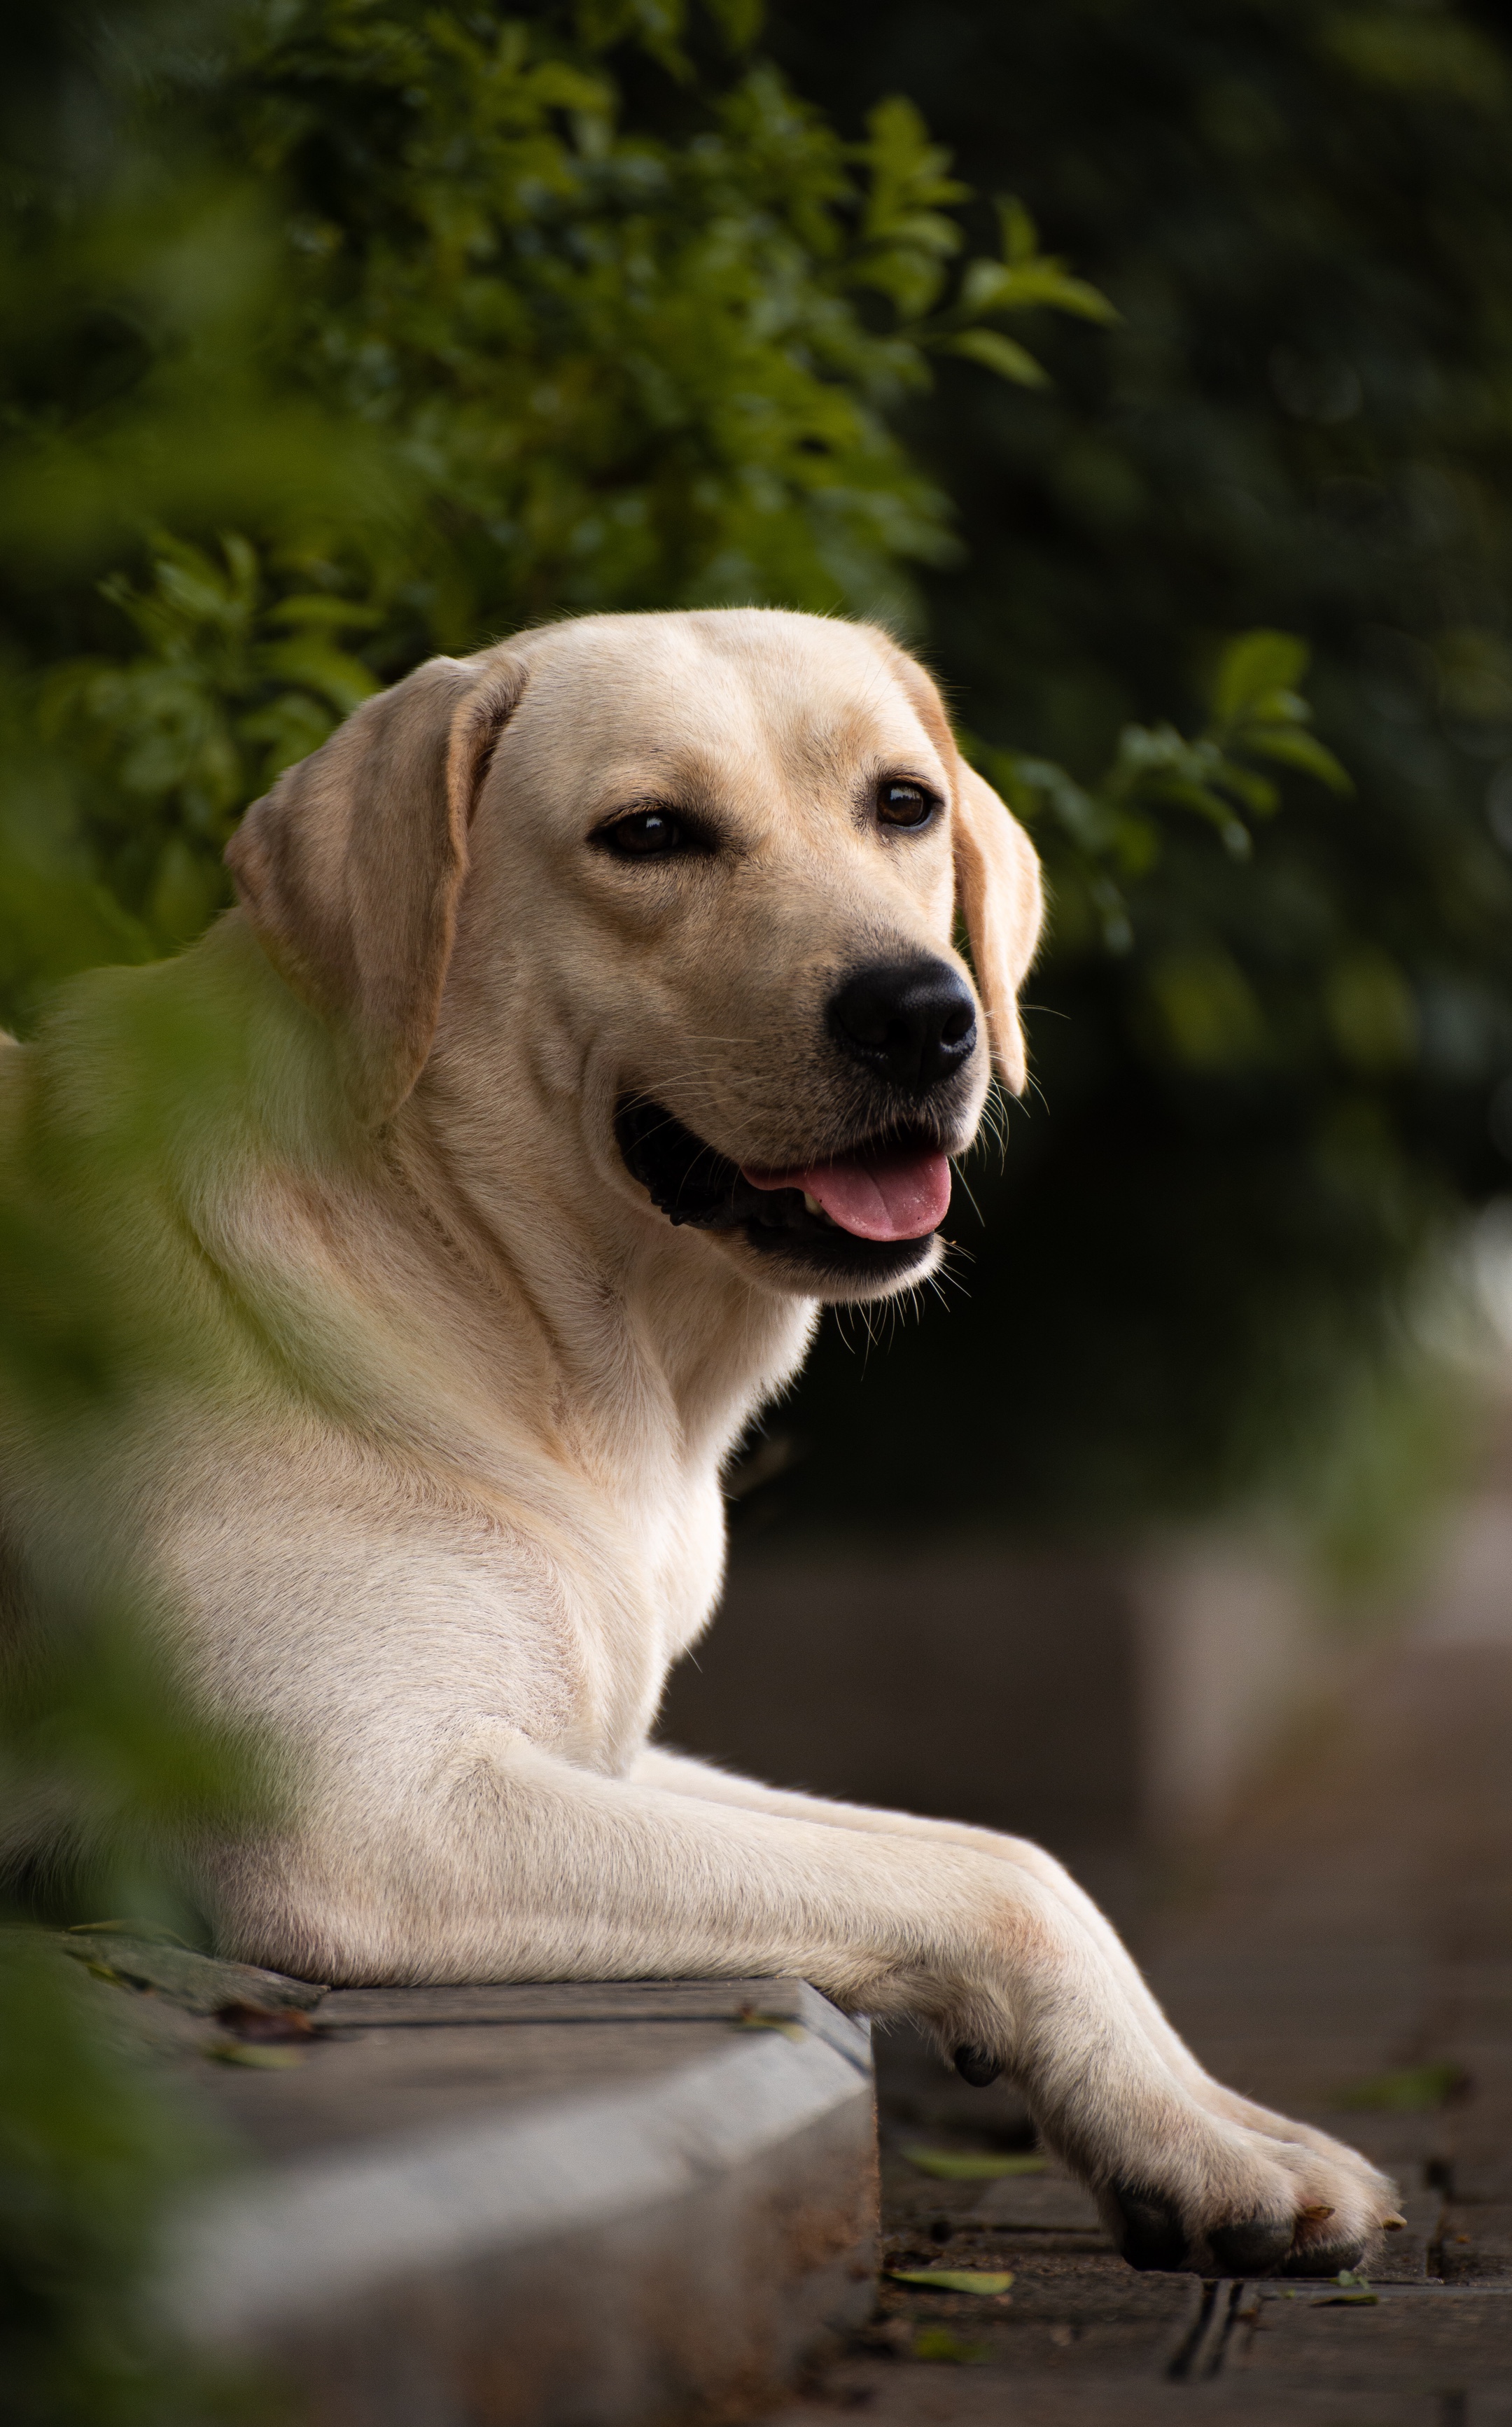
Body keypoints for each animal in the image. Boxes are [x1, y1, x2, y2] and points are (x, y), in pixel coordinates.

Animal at [0, 606, 1398, 2272]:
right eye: (650, 834)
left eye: (904, 804)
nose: (924, 1012)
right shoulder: (366, 1816)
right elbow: (984, 1881)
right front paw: (1193, 2143)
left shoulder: (596, 1742)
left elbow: (1020, 1858)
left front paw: (1214, 2130)